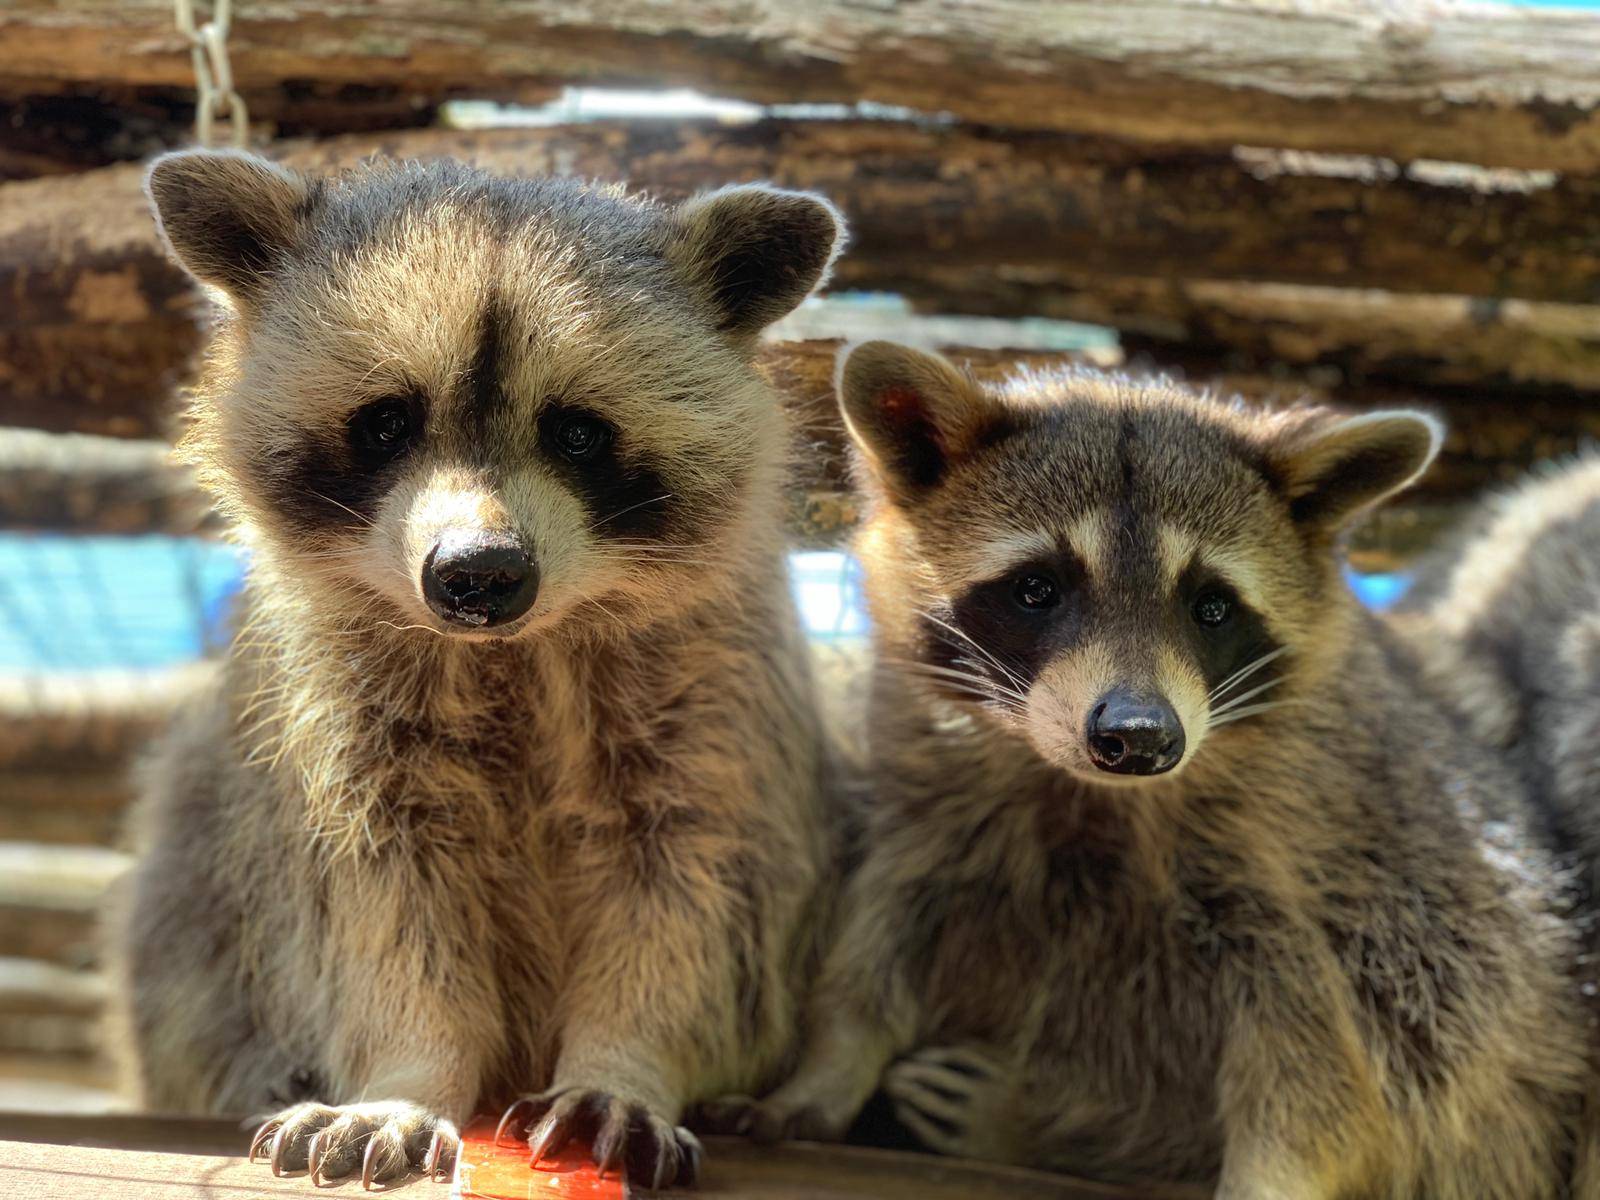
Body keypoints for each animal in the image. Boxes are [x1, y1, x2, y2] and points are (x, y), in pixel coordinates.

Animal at [726, 339, 1600, 1200]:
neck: (1087, 791)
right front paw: (831, 1065)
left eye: (1211, 607)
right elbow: (883, 934)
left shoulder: (1296, 877)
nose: (1139, 737)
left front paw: (1270, 1173)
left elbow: (1321, 1071)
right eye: (1037, 589)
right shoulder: (933, 801)